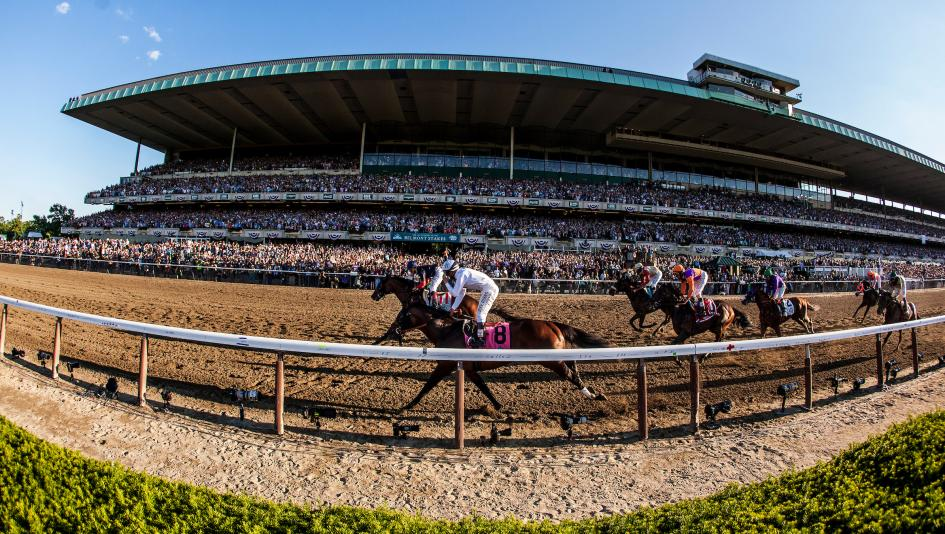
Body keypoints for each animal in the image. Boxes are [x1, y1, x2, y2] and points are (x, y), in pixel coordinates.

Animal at [392, 302, 608, 414]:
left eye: (403, 315)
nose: (393, 330)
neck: (446, 330)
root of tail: (552, 324)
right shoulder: (468, 368)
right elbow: (484, 387)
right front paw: (497, 406)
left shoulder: (445, 365)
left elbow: (427, 386)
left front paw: (405, 407)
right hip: (559, 354)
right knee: (574, 367)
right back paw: (596, 394)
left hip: (551, 360)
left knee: (569, 375)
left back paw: (590, 395)